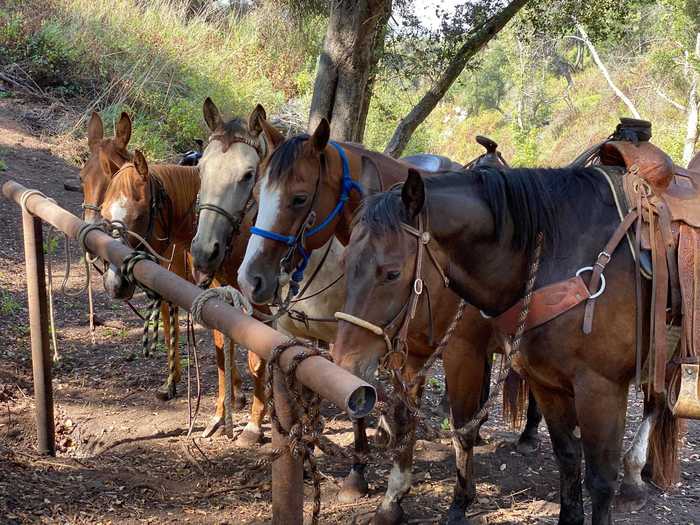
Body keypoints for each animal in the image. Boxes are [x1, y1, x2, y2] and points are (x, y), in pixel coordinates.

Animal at [232, 119, 544, 520]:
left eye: (299, 198)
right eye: (257, 192)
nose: (249, 278)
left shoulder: (460, 354)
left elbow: (456, 425)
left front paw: (459, 502)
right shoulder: (407, 353)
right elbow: (401, 414)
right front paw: (392, 497)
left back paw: (528, 435)